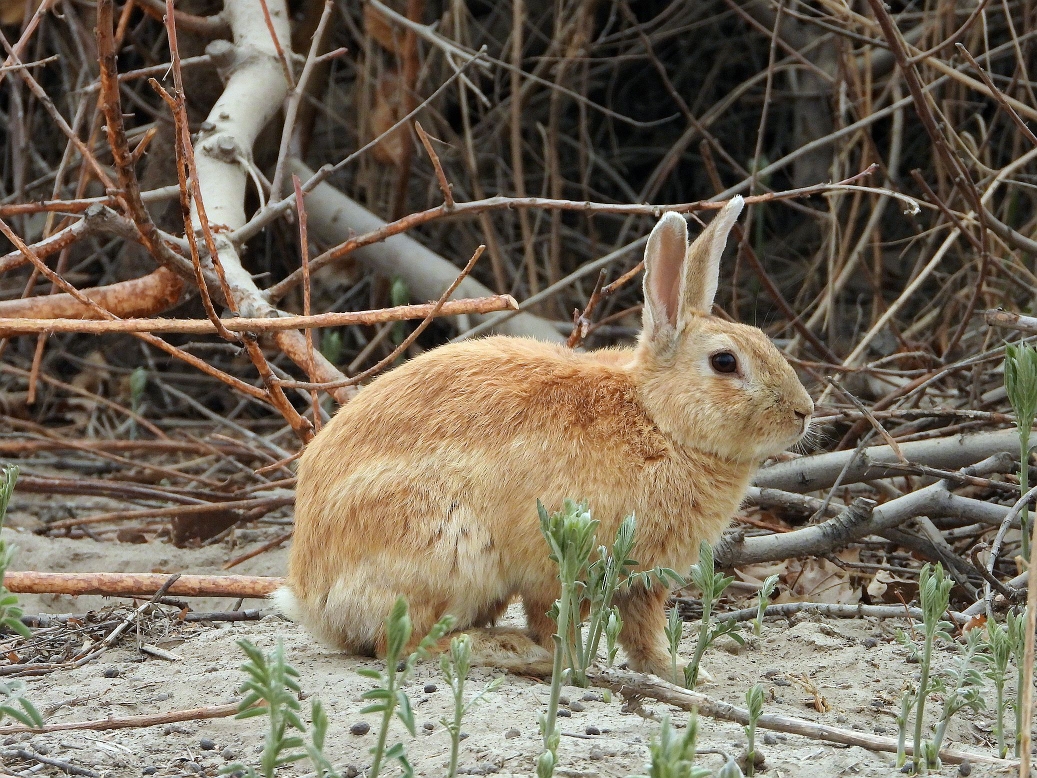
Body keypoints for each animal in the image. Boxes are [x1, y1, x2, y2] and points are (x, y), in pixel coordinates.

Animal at [273, 196, 808, 680]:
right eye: (725, 362)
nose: (804, 412)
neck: (658, 419)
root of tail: (311, 598)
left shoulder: (641, 582)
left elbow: (644, 634)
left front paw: (677, 674)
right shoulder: (557, 562)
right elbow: (558, 620)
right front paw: (568, 666)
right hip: (449, 552)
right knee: (404, 641)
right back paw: (507, 649)